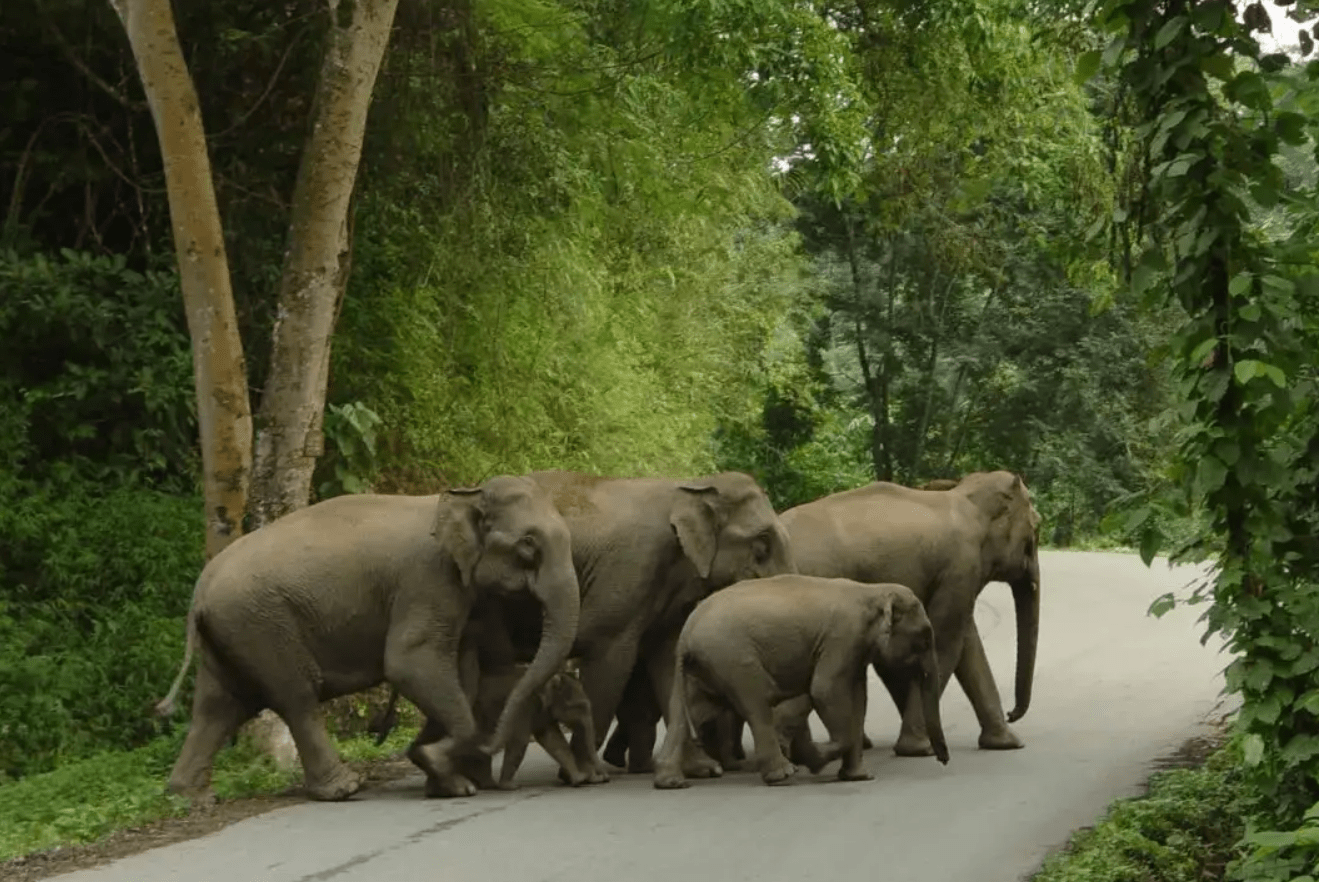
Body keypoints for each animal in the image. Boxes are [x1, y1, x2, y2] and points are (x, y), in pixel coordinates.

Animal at [153, 477, 577, 801]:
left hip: (230, 631)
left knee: (218, 706)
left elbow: (459, 671)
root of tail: (201, 588)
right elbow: (409, 662)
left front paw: (442, 777)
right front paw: (443, 770)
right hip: (260, 624)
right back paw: (343, 789)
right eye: (528, 544)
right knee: (295, 696)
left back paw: (192, 796)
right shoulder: (428, 579)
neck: (463, 494)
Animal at [651, 574, 949, 785]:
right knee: (756, 704)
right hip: (732, 658)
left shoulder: (854, 649)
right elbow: (825, 691)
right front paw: (814, 757)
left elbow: (857, 699)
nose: (943, 761)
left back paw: (671, 782)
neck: (872, 590)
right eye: (925, 637)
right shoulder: (842, 636)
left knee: (686, 712)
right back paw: (783, 774)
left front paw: (858, 777)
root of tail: (688, 633)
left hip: (699, 668)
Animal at [780, 471, 1039, 754]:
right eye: (1035, 531)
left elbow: (966, 645)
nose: (1012, 713)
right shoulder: (960, 567)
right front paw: (919, 747)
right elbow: (947, 643)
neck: (965, 494)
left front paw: (1007, 743)